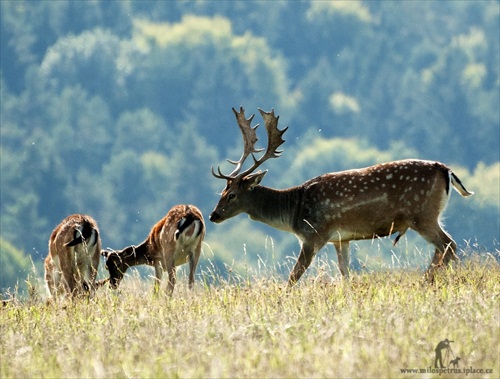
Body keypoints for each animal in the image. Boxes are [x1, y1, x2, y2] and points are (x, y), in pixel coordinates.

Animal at [209, 106, 474, 284]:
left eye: (232, 194)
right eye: (221, 191)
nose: (213, 215)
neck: (295, 209)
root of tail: (446, 170)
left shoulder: (314, 235)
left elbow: (294, 277)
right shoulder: (341, 239)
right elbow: (344, 273)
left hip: (422, 214)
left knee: (448, 245)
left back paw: (426, 281)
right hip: (428, 216)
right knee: (444, 247)